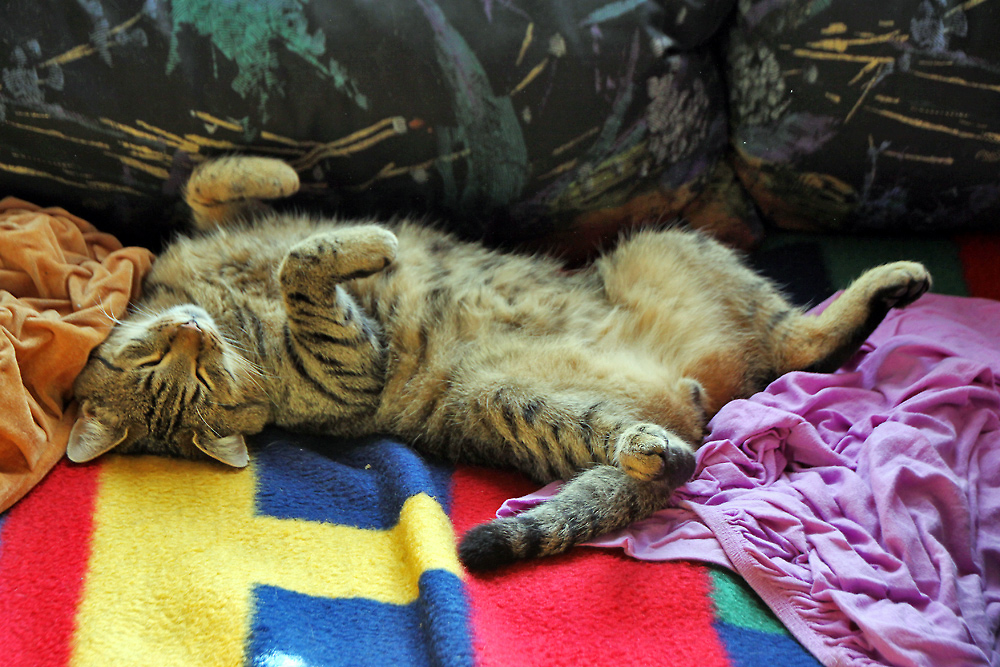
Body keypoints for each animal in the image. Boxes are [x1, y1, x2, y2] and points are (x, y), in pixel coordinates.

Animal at [68, 155, 928, 568]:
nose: (192, 335)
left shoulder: (225, 227)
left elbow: (216, 185)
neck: (229, 315)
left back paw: (894, 282)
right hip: (504, 398)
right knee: (715, 418)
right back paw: (657, 447)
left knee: (794, 340)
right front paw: (371, 242)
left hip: (668, 242)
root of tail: (708, 397)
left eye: (176, 364)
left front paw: (286, 177)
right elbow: (300, 265)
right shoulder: (347, 372)